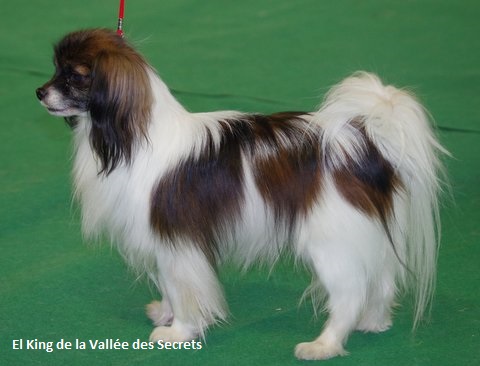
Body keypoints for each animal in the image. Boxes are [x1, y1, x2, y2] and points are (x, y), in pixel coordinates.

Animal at [37, 28, 446, 360]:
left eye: (74, 76)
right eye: (55, 69)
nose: (40, 91)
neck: (132, 138)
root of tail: (363, 143)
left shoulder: (177, 241)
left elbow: (184, 290)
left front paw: (178, 332)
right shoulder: (161, 243)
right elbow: (169, 285)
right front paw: (165, 314)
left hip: (331, 243)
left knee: (350, 294)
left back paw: (323, 345)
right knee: (382, 281)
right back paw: (374, 322)